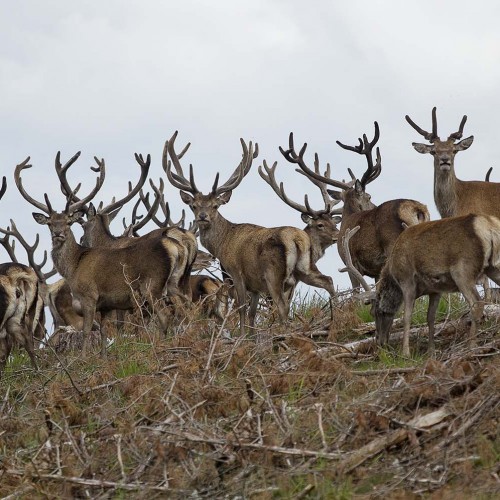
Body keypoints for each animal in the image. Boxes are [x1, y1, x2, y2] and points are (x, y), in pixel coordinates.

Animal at [16, 154, 187, 354]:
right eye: (49, 223)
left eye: (70, 222)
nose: (58, 234)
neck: (73, 265)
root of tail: (175, 245)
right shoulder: (107, 305)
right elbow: (105, 333)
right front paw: (105, 355)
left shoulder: (90, 297)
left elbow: (88, 331)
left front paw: (84, 357)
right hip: (174, 283)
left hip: (151, 286)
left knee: (166, 315)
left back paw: (161, 346)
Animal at [164, 133, 336, 336]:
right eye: (194, 206)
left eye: (216, 205)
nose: (203, 216)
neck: (223, 244)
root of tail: (296, 238)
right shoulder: (255, 286)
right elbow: (252, 313)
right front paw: (250, 336)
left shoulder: (236, 273)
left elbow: (242, 308)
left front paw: (242, 335)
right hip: (305, 268)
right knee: (328, 280)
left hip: (273, 273)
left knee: (282, 306)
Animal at [286, 125, 430, 290]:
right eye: (370, 196)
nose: (373, 204)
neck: (348, 217)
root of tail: (416, 208)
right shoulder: (375, 271)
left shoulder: (351, 261)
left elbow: (356, 291)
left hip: (393, 244)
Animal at [372, 213, 500, 358]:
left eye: (377, 313)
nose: (380, 342)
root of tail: (489, 225)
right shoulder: (435, 290)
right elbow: (430, 318)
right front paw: (431, 351)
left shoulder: (407, 281)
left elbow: (407, 317)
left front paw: (406, 352)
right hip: (493, 267)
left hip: (462, 271)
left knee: (476, 303)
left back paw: (471, 346)